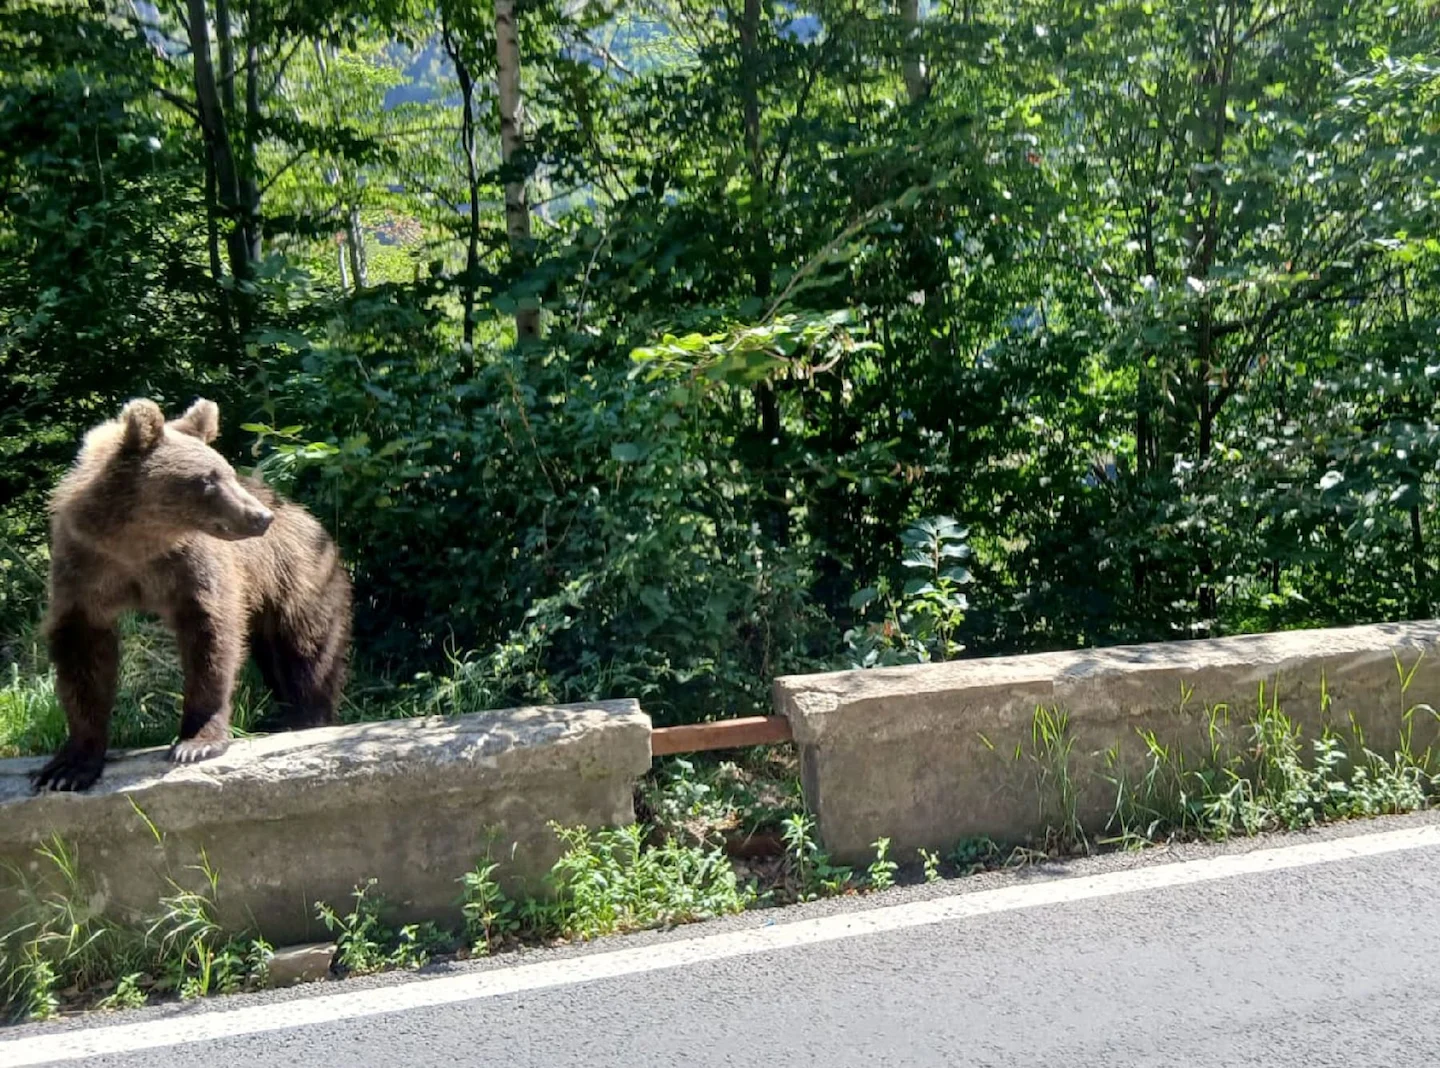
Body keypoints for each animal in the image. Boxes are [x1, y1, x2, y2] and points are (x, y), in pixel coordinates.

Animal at [31, 397, 353, 793]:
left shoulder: (191, 570)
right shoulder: (85, 571)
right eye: (208, 479)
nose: (260, 517)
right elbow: (83, 656)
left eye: (226, 471)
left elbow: (210, 640)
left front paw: (196, 743)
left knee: (306, 651)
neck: (136, 544)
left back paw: (305, 715)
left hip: (301, 580)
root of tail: (310, 519)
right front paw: (68, 767)